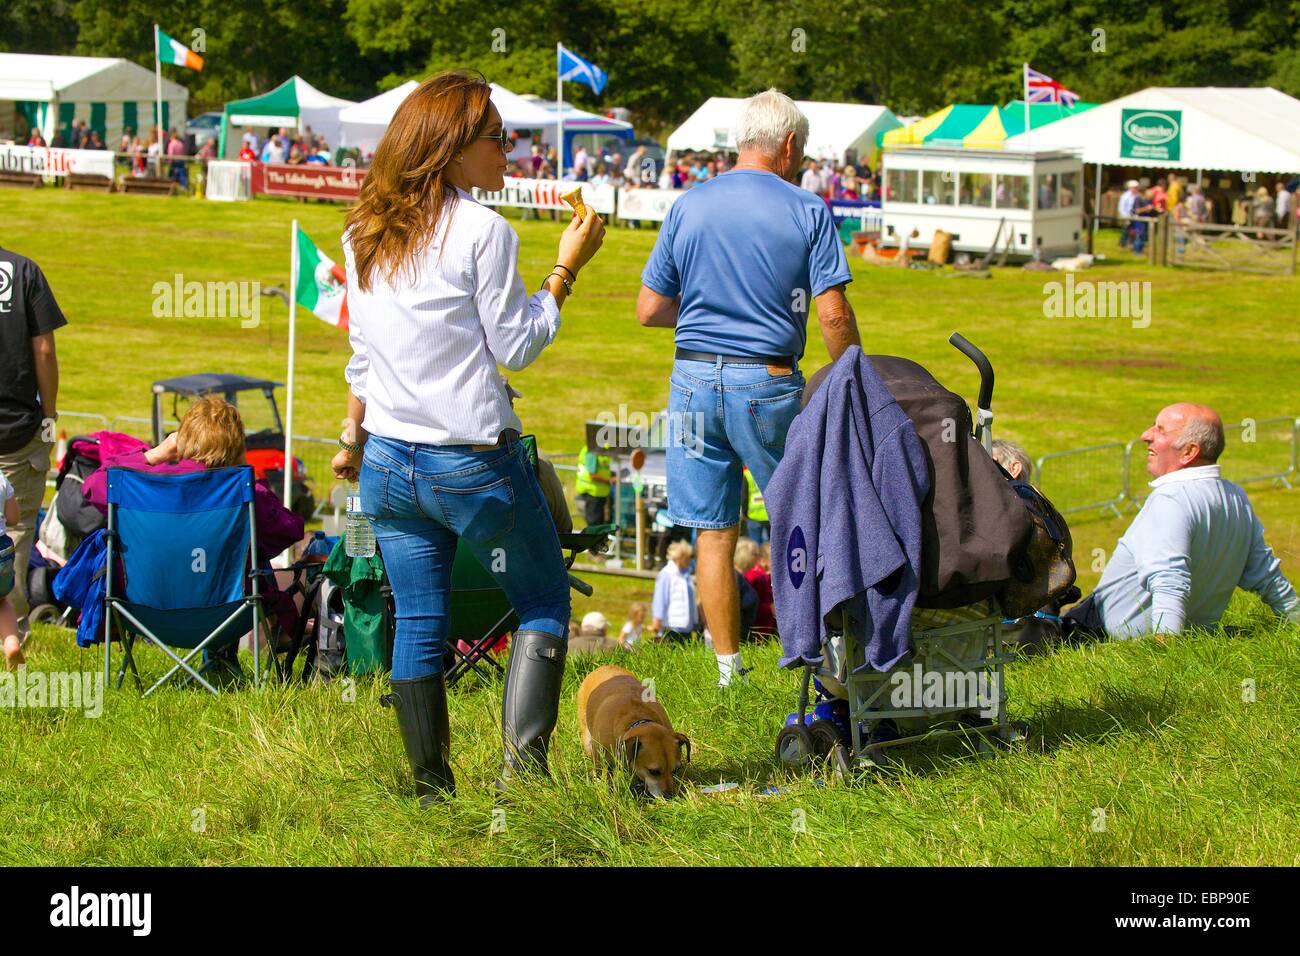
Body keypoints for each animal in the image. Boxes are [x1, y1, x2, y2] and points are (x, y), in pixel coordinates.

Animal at [579, 665, 691, 801]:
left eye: (676, 770)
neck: (636, 719)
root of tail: (603, 667)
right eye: (654, 771)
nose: (670, 796)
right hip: (587, 741)